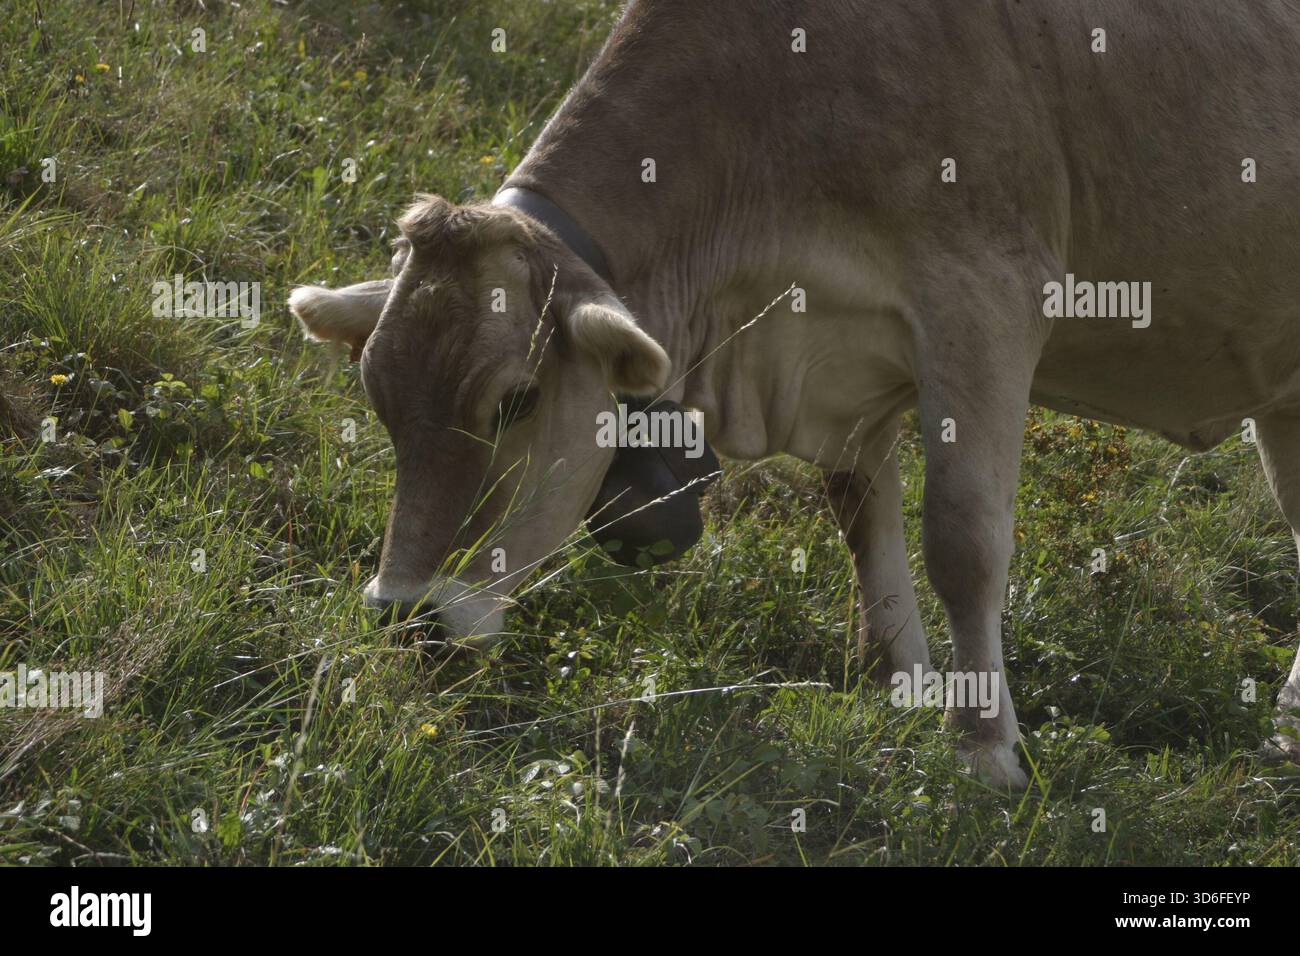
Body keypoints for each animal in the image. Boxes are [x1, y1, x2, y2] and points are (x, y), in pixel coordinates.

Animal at [289, 0, 1300, 790]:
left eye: (514, 400)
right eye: (380, 401)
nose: (403, 617)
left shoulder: (987, 296)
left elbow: (964, 542)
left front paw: (983, 751)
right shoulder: (850, 363)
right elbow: (862, 520)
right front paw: (904, 693)